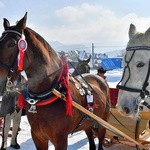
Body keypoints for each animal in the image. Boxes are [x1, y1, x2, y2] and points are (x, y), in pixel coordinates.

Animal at [0, 13, 109, 150]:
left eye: (12, 43)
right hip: (88, 123)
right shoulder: (38, 137)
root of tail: (101, 79)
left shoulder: (60, 139)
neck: (48, 93)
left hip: (102, 122)